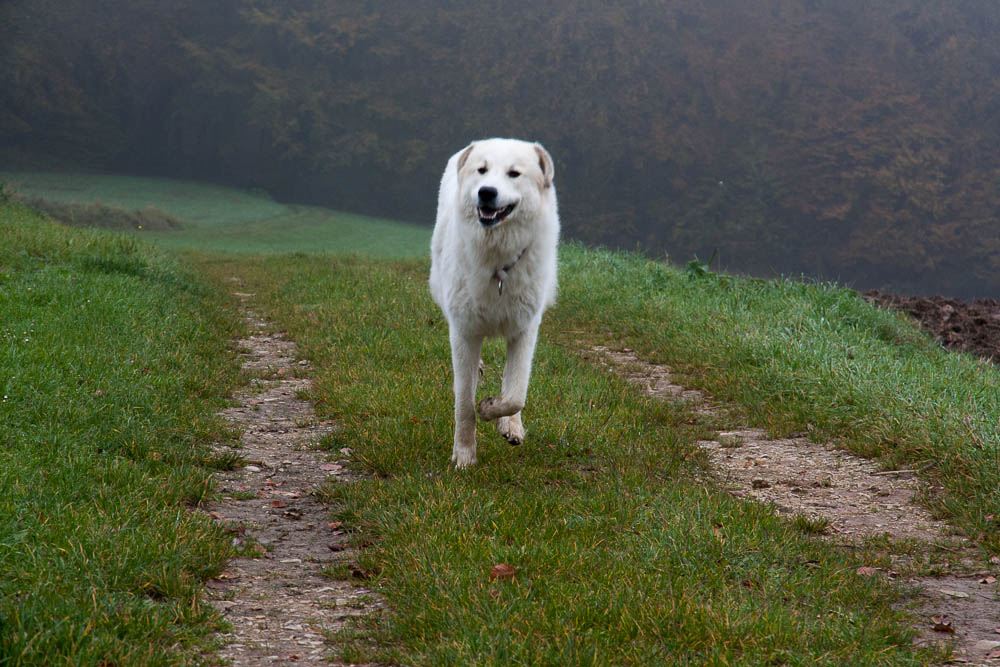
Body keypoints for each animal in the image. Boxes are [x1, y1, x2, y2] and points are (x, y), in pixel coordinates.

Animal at [426, 138, 560, 468]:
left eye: (514, 173)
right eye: (482, 170)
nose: (486, 192)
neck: (498, 261)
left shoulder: (525, 330)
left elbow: (515, 393)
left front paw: (493, 412)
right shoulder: (464, 332)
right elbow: (464, 403)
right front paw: (464, 456)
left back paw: (511, 424)